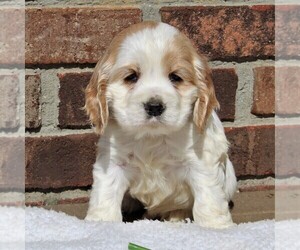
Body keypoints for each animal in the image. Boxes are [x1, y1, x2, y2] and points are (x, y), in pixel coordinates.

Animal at [84, 21, 237, 229]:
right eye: (131, 77)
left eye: (175, 77)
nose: (155, 106)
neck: (152, 136)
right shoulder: (113, 162)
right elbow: (105, 195)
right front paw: (101, 223)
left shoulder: (202, 163)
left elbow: (208, 200)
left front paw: (216, 227)